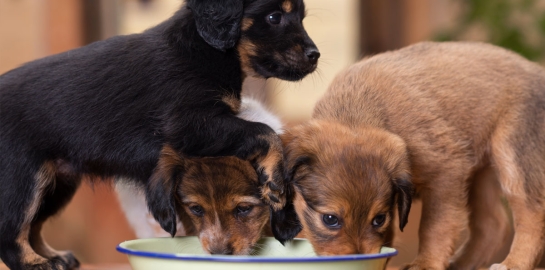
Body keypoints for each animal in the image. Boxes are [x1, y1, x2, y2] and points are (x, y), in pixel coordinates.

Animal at [0, 1, 318, 268]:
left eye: (301, 17)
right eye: (274, 17)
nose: (316, 56)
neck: (202, 50)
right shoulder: (191, 123)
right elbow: (265, 132)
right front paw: (274, 179)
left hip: (56, 184)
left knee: (33, 226)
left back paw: (53, 256)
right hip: (22, 178)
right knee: (11, 229)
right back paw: (35, 262)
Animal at [278, 41, 544, 268]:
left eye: (379, 219)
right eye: (330, 219)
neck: (356, 116)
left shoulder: (447, 175)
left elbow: (434, 227)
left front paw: (426, 263)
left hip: (512, 157)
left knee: (531, 215)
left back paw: (513, 263)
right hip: (480, 173)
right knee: (493, 225)